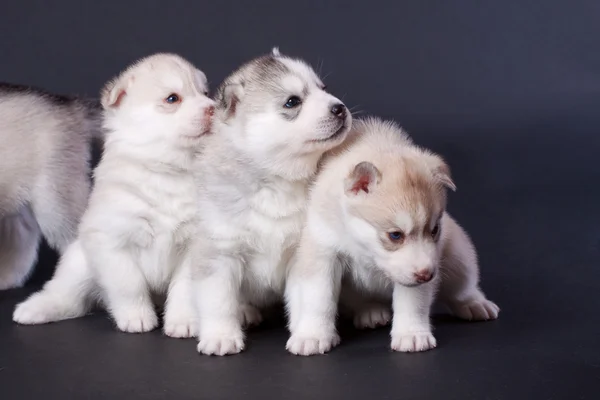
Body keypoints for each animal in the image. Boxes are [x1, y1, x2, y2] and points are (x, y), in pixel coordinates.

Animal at [12, 53, 216, 338]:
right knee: (68, 295)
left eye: (205, 93)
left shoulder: (194, 245)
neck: (167, 171)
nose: (214, 107)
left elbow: (184, 288)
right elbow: (129, 285)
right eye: (172, 98)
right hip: (79, 261)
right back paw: (36, 309)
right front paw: (137, 317)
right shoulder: (112, 240)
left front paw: (183, 321)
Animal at [192, 48, 352, 354]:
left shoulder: (307, 253)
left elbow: (315, 298)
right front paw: (220, 335)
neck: (277, 183)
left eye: (323, 88)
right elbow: (218, 301)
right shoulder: (221, 253)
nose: (339, 107)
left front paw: (311, 334)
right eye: (293, 101)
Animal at [284, 117, 500, 354]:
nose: (427, 275)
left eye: (434, 230)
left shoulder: (418, 269)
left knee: (462, 286)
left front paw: (411, 334)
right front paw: (312, 335)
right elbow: (317, 299)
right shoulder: (322, 252)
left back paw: (474, 303)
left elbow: (412, 302)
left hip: (457, 255)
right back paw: (370, 311)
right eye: (395, 235)